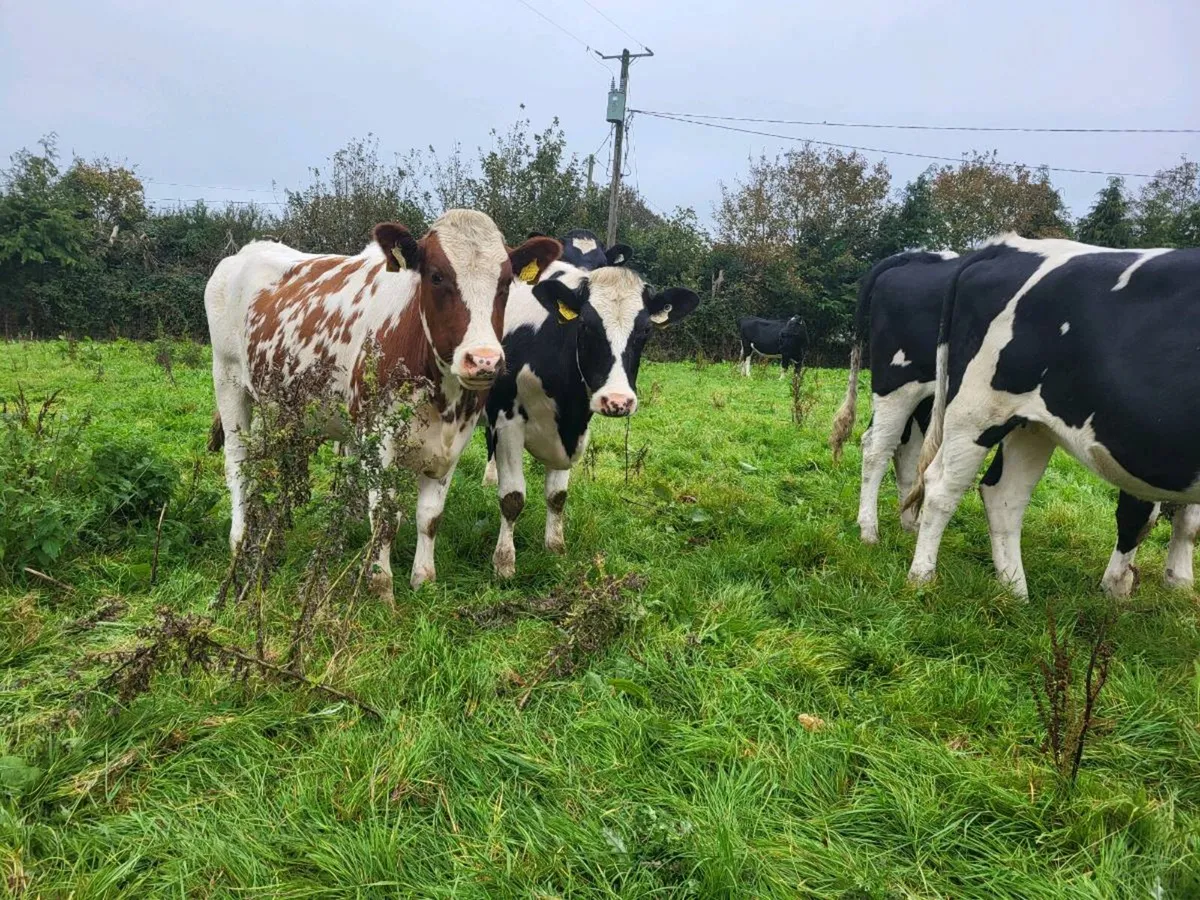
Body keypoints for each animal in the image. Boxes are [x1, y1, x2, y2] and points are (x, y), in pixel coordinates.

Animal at [204, 209, 561, 599]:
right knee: (238, 465)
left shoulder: (455, 439)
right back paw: (240, 541)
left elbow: (430, 516)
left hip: (283, 405)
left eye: (505, 283)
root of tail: (247, 250)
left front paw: (424, 579)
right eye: (437, 276)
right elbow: (385, 518)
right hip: (228, 381)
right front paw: (380, 586)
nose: (483, 360)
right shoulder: (379, 436)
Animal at [481, 229, 701, 577]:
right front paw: (504, 562)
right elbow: (512, 497)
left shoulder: (575, 427)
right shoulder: (506, 420)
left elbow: (557, 496)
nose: (617, 400)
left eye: (645, 329)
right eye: (585, 324)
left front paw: (555, 547)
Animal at [830, 248, 1198, 594]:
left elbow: (1187, 522)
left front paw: (1178, 581)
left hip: (965, 410)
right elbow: (1138, 516)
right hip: (913, 390)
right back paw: (879, 539)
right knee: (883, 452)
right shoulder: (1137, 440)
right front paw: (1118, 586)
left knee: (917, 457)